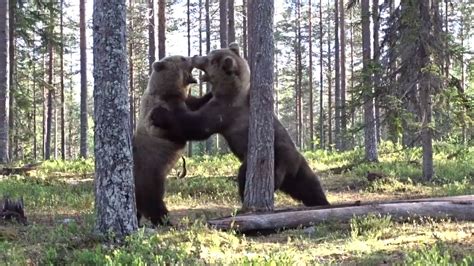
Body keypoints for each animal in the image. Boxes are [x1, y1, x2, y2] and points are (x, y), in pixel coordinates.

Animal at [134, 55, 214, 225]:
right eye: (183, 58)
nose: (194, 56)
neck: (169, 93)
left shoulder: (186, 101)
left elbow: (197, 103)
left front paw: (211, 93)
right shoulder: (163, 113)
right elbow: (186, 127)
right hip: (150, 175)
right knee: (153, 201)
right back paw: (164, 220)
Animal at [151, 44, 330, 208]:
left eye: (209, 59)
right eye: (209, 53)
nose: (195, 56)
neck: (230, 90)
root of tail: (288, 168)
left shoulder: (226, 111)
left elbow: (197, 126)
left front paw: (159, 113)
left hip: (272, 159)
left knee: (245, 175)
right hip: (300, 169)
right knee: (310, 186)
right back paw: (322, 202)